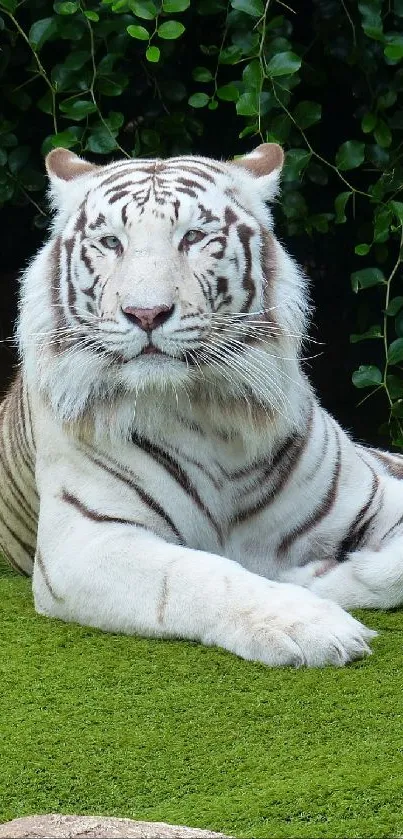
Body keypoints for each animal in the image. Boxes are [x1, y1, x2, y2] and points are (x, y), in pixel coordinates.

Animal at [1, 143, 402, 668]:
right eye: (111, 242)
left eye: (192, 237)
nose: (146, 313)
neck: (211, 414)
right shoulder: (85, 541)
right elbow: (199, 576)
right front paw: (310, 621)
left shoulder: (377, 493)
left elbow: (392, 569)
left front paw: (316, 577)